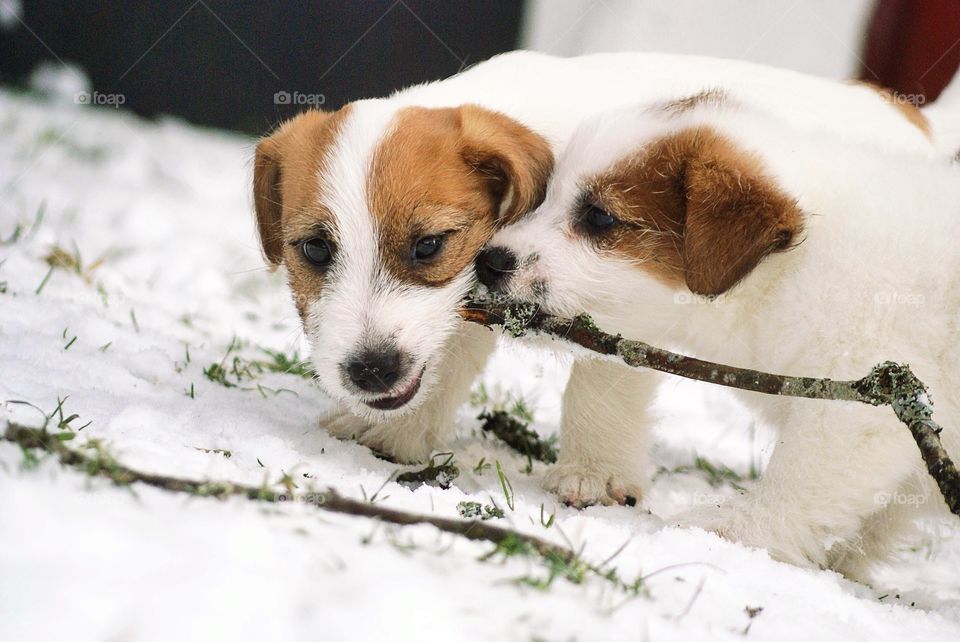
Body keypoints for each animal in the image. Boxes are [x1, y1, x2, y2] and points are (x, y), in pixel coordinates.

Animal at [484, 86, 960, 576]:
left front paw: (734, 532)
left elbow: (800, 478)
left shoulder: (864, 396)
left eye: (599, 217)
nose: (488, 262)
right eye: (546, 196)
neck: (791, 268)